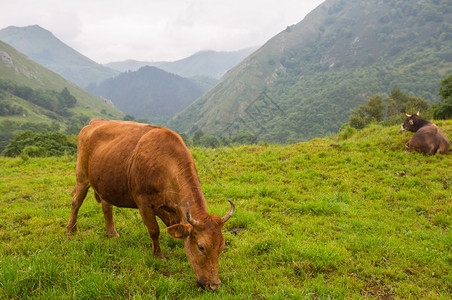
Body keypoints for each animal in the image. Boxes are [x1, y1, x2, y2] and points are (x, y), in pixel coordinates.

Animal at [68, 118, 237, 290]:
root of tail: (96, 121)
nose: (214, 285)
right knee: (76, 201)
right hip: (81, 175)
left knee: (106, 205)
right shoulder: (144, 203)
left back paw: (111, 233)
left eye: (222, 247)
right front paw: (158, 256)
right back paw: (71, 230)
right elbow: (154, 231)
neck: (166, 165)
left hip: (106, 183)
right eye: (201, 247)